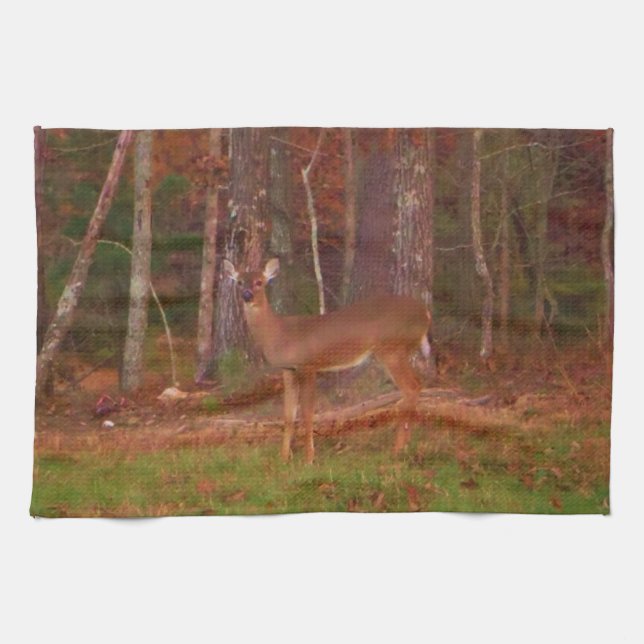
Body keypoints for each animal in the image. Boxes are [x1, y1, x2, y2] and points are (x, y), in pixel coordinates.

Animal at [223, 258, 432, 464]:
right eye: (239, 282)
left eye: (259, 282)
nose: (247, 295)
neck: (280, 334)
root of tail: (426, 312)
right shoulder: (288, 369)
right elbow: (289, 416)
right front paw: (283, 458)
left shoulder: (308, 365)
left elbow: (307, 413)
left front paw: (309, 458)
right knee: (415, 387)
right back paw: (404, 447)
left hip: (391, 349)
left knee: (412, 387)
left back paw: (397, 450)